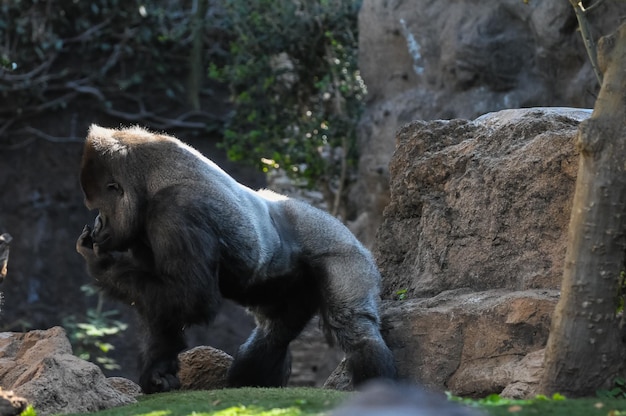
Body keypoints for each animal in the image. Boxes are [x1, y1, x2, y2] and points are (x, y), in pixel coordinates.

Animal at [74, 124, 394, 394]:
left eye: (99, 205)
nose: (98, 224)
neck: (149, 184)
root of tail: (342, 225)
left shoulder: (175, 212)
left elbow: (190, 297)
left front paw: (100, 265)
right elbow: (163, 306)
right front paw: (157, 373)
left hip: (344, 251)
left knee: (355, 328)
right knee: (273, 333)